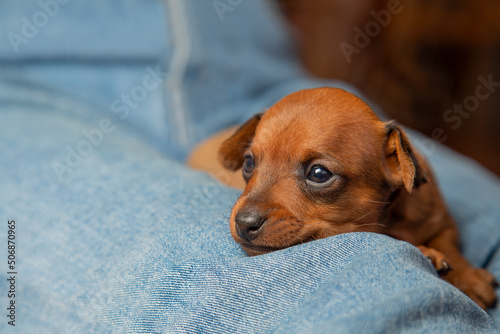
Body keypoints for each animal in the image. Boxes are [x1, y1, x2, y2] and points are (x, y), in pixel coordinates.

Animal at [215, 87, 496, 310]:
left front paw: (469, 278)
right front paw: (427, 254)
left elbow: (450, 246)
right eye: (248, 163)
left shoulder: (442, 221)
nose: (244, 223)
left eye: (319, 173)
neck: (394, 218)